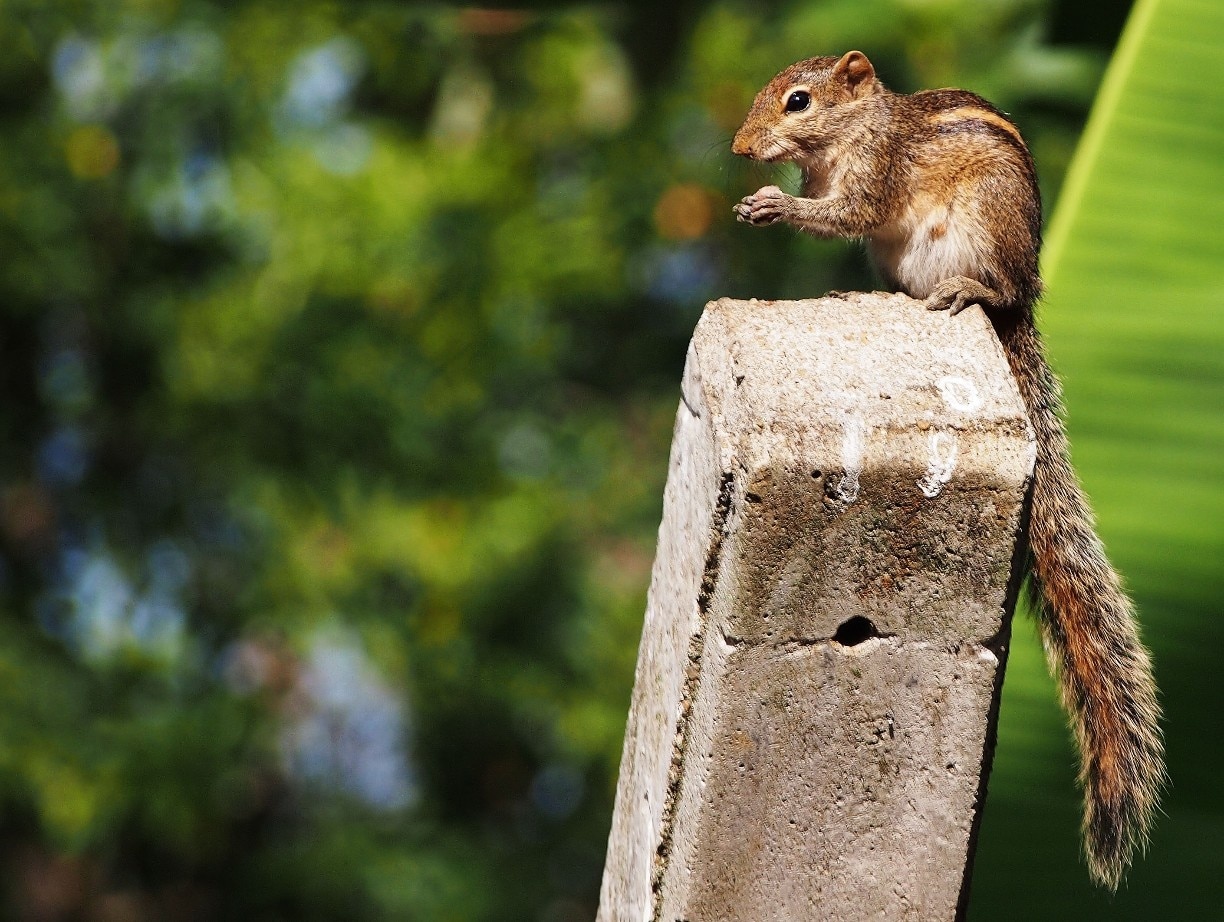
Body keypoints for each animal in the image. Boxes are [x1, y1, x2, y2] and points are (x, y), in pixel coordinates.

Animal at [729, 52, 1160, 891]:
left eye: (798, 101)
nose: (740, 147)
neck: (855, 135)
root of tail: (1025, 298)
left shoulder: (873, 179)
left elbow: (843, 213)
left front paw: (772, 205)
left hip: (985, 234)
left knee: (991, 287)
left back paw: (968, 289)